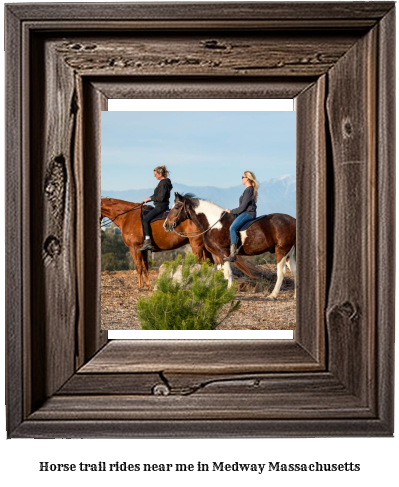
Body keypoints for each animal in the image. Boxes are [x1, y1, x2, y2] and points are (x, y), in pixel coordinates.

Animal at [164, 193, 298, 300]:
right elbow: (220, 273)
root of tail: (293, 220)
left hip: (281, 251)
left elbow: (228, 273)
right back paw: (295, 295)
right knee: (295, 271)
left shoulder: (223, 252)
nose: (166, 225)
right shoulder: (217, 255)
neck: (214, 224)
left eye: (177, 207)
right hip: (288, 253)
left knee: (281, 272)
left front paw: (228, 293)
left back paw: (273, 295)